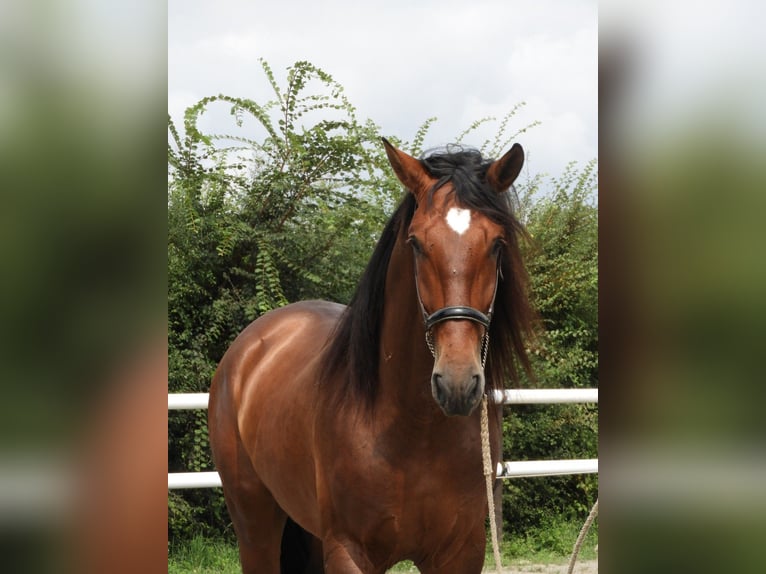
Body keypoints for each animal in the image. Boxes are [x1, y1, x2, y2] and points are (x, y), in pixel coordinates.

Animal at [207, 141, 536, 574]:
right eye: (415, 243)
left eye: (498, 244)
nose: (457, 383)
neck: (413, 429)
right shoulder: (349, 550)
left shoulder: (462, 551)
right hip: (254, 524)